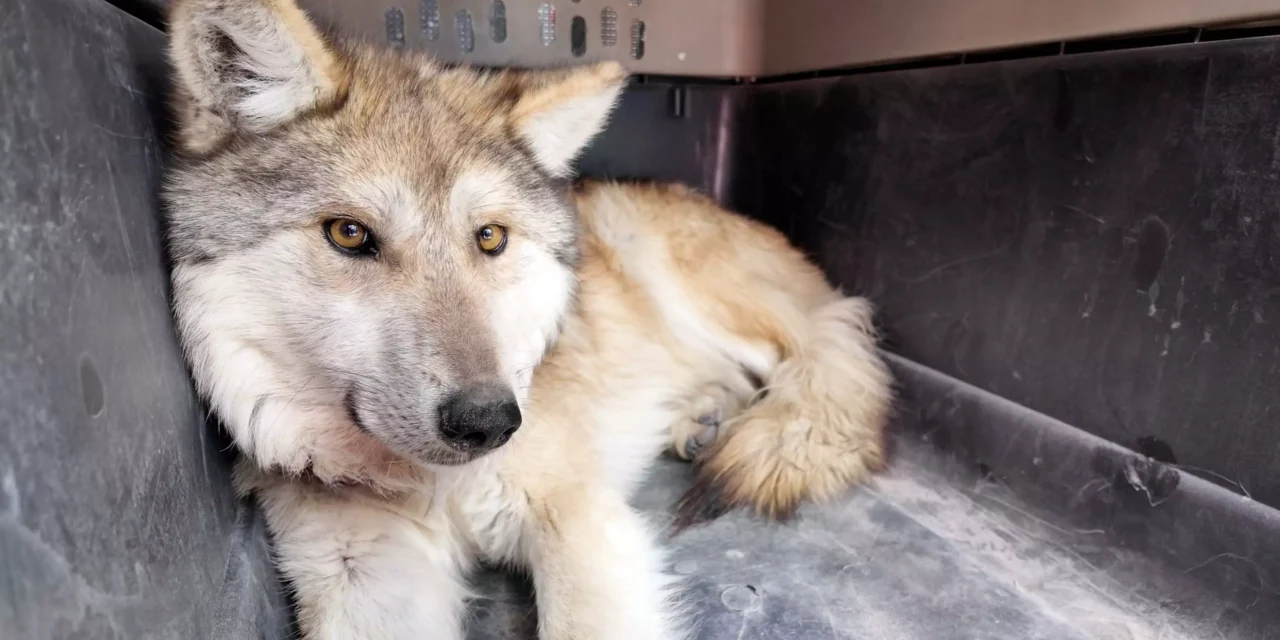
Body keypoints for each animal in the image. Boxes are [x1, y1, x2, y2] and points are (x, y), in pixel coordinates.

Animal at [162, 0, 892, 637]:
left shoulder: (579, 522)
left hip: (679, 273)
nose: (490, 421)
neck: (434, 488)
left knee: (813, 360)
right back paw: (703, 419)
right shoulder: (364, 569)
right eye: (348, 234)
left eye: (489, 238)